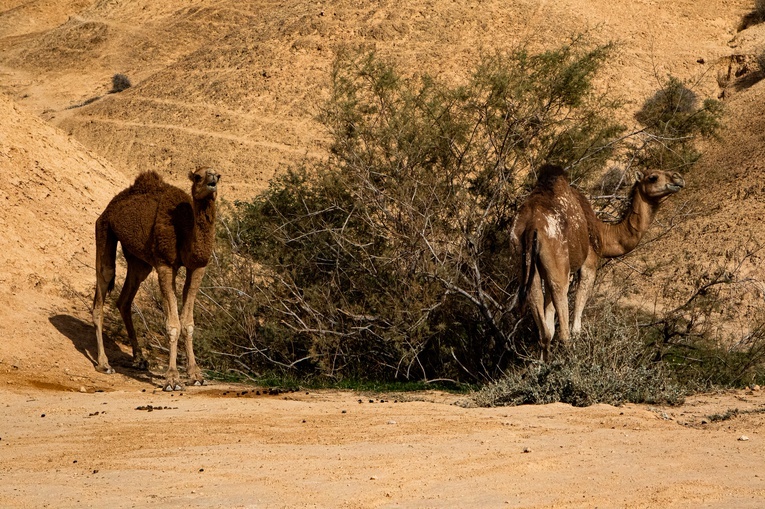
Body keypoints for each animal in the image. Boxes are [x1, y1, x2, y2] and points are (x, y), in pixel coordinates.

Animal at [92, 167, 221, 388]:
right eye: (198, 176)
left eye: (218, 175)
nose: (212, 179)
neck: (185, 229)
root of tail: (110, 207)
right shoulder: (165, 264)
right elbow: (173, 324)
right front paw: (172, 378)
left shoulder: (197, 267)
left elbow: (188, 323)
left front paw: (196, 375)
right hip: (104, 230)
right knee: (103, 281)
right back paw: (104, 364)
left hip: (138, 261)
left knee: (124, 299)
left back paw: (139, 359)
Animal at [510, 165, 684, 360]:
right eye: (653, 177)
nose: (678, 178)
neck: (603, 234)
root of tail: (531, 225)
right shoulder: (589, 263)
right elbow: (576, 327)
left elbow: (548, 328)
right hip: (558, 264)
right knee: (564, 331)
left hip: (523, 259)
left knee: (544, 331)